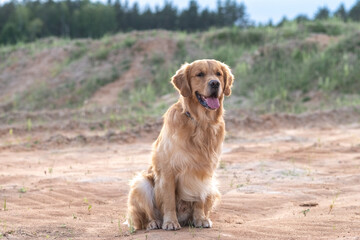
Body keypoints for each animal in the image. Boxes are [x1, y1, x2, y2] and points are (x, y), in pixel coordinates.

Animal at [126, 58, 233, 231]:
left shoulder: (203, 170)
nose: (215, 83)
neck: (200, 122)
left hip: (213, 187)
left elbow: (199, 198)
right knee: (145, 217)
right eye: (200, 74)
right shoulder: (168, 170)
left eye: (218, 74)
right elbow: (169, 200)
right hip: (141, 183)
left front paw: (200, 219)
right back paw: (154, 222)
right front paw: (170, 222)